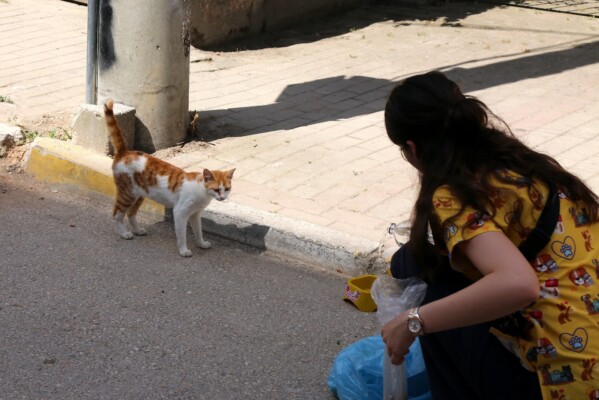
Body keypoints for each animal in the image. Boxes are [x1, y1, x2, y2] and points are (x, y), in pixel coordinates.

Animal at [103, 98, 234, 258]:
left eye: (226, 189)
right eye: (216, 189)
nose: (222, 197)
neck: (201, 191)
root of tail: (125, 152)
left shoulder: (195, 214)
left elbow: (198, 231)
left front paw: (201, 244)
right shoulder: (180, 212)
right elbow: (182, 235)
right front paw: (183, 250)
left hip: (139, 195)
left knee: (131, 213)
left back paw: (137, 230)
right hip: (128, 194)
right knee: (117, 214)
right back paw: (124, 233)